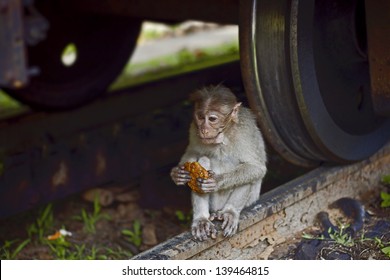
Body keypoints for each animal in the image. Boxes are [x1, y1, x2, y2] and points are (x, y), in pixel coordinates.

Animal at [171, 85, 266, 241]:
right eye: (200, 117)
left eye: (212, 119)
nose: (204, 129)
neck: (223, 135)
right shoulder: (193, 128)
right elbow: (192, 152)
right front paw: (178, 173)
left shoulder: (244, 131)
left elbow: (256, 168)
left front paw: (216, 181)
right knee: (203, 159)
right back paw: (202, 219)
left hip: (250, 199)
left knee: (246, 170)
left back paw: (230, 212)